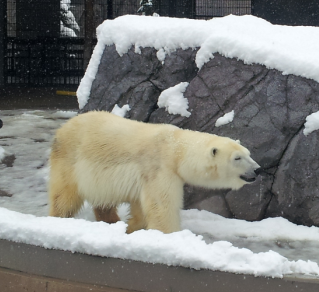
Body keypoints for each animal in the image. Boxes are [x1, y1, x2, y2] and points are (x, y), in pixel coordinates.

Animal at [48, 110, 262, 234]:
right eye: (237, 158)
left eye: (248, 153)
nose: (257, 170)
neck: (175, 147)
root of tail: (62, 128)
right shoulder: (159, 169)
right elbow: (162, 207)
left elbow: (141, 208)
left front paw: (132, 227)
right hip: (70, 160)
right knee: (64, 196)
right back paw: (60, 218)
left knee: (104, 201)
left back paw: (111, 221)